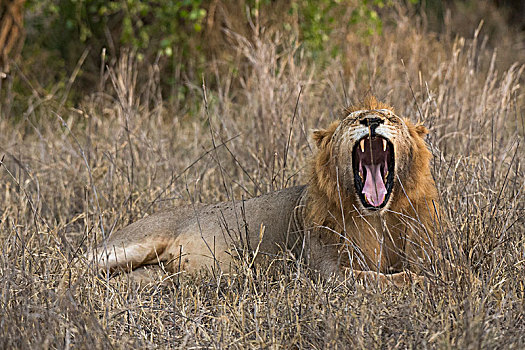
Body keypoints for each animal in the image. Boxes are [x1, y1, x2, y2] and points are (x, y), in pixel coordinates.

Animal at [89, 97, 438, 286]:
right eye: (352, 119)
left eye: (391, 117)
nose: (372, 119)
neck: (374, 216)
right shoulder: (324, 270)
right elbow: (375, 278)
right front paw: (423, 283)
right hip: (132, 243)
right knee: (82, 263)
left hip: (155, 275)